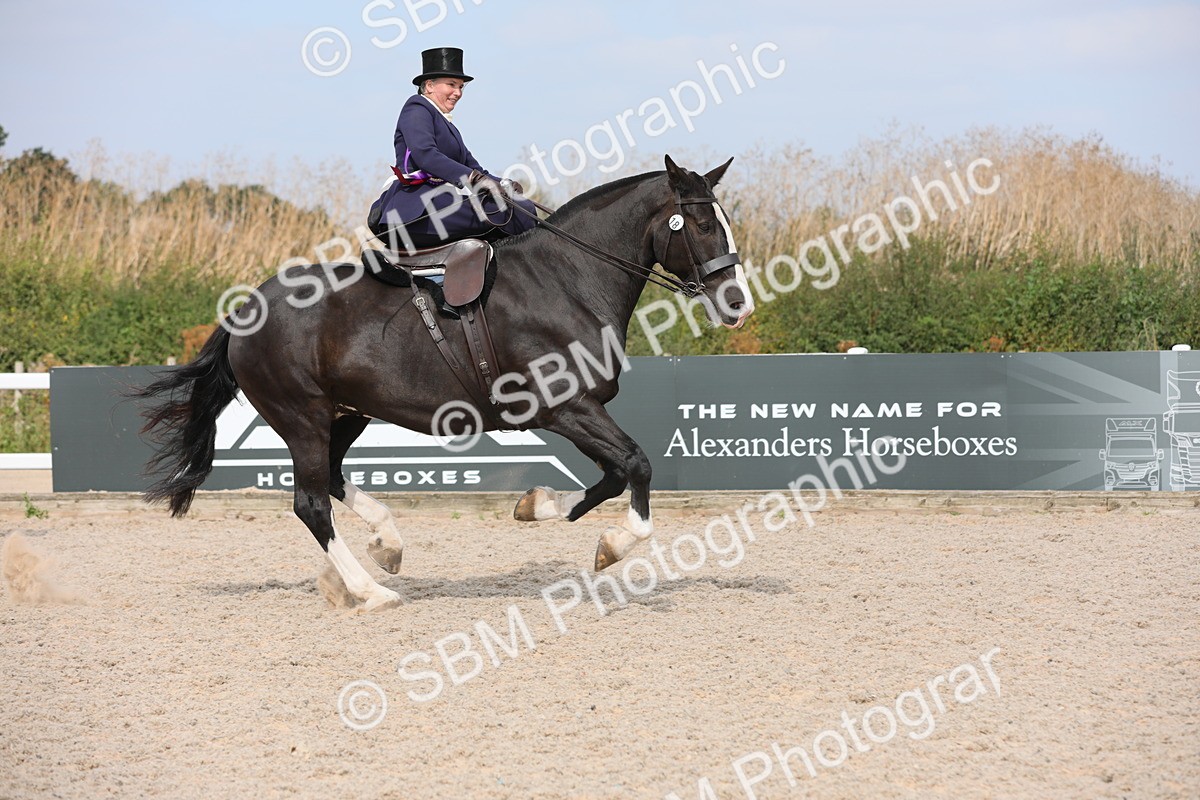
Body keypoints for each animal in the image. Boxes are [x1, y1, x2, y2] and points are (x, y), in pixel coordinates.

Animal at [133, 155, 754, 611]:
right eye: (702, 225)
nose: (739, 305)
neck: (567, 281)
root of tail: (247, 307)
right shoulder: (567, 407)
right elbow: (636, 465)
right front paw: (613, 545)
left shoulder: (578, 412)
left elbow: (611, 477)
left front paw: (537, 507)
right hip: (302, 417)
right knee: (311, 503)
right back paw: (371, 591)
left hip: (347, 414)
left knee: (331, 481)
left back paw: (385, 547)